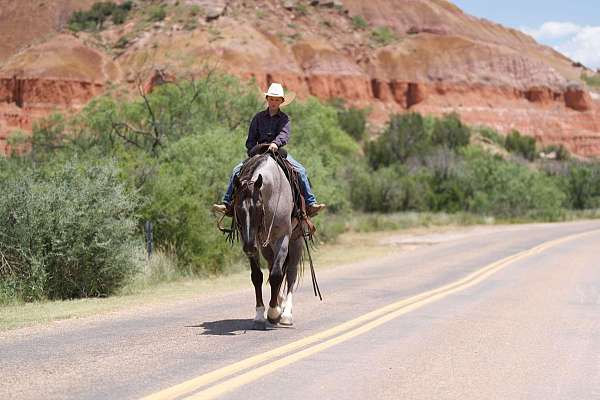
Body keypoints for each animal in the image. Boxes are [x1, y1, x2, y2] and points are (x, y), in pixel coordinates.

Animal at [231, 152, 304, 328]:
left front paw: (273, 313)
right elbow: (257, 276)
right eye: (238, 209)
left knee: (290, 273)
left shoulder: (283, 238)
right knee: (273, 267)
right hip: (266, 247)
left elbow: (277, 275)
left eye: (258, 207)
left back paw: (286, 314)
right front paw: (259, 314)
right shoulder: (252, 240)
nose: (249, 248)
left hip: (295, 242)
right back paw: (279, 302)